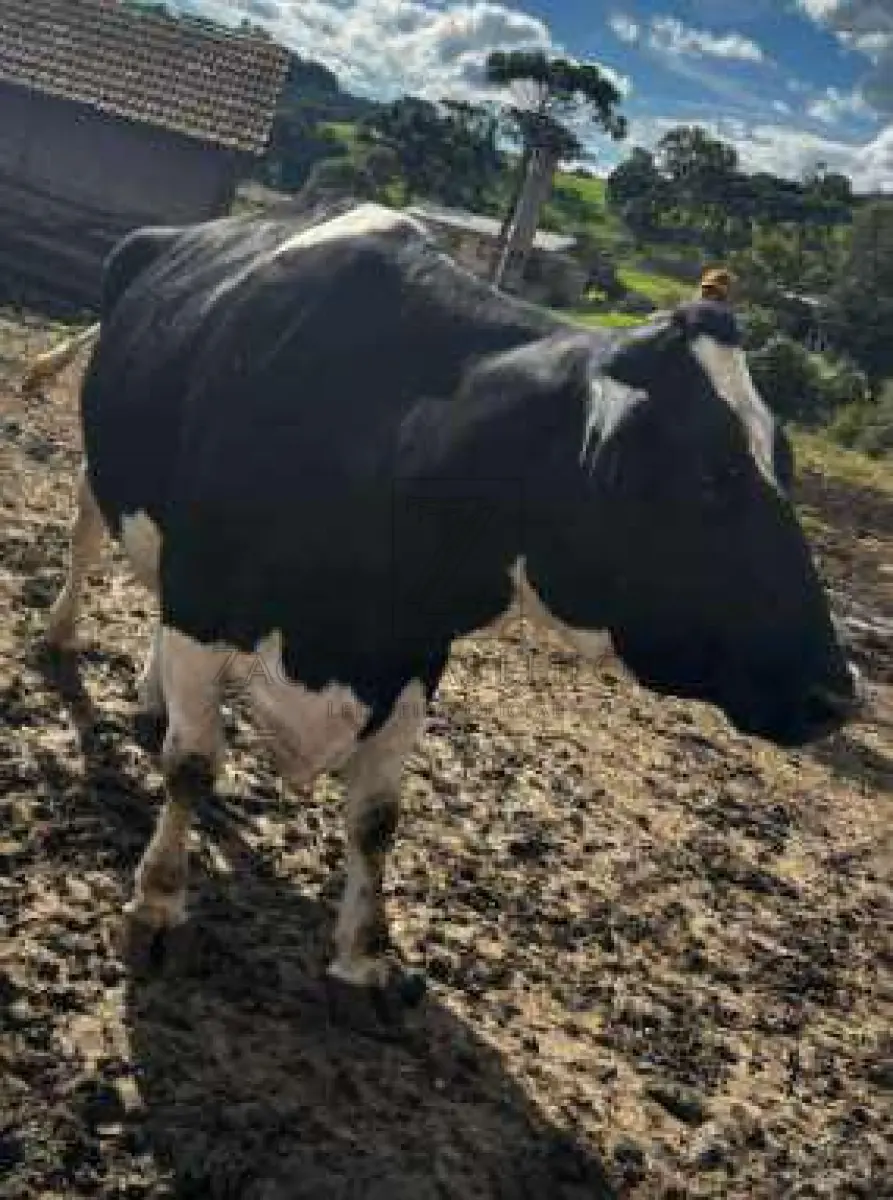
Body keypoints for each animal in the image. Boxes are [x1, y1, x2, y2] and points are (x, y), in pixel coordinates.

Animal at [26, 198, 863, 1020]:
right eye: (712, 476)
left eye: (784, 465)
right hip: (107, 471)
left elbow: (376, 818)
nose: (837, 696)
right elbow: (194, 766)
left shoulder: (414, 652)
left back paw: (151, 698)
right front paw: (157, 908)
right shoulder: (205, 596)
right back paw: (62, 638)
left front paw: (364, 958)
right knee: (86, 536)